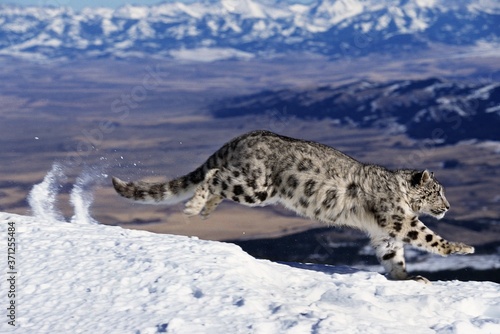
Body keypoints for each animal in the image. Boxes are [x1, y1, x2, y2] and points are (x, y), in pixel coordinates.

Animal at [111, 130, 474, 282]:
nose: (449, 206)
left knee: (218, 179)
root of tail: (245, 136)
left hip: (251, 186)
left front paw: (406, 278)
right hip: (255, 187)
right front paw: (461, 248)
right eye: (436, 191)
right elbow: (427, 236)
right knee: (215, 176)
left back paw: (206, 209)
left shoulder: (384, 232)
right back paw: (195, 206)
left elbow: (393, 256)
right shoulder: (398, 219)